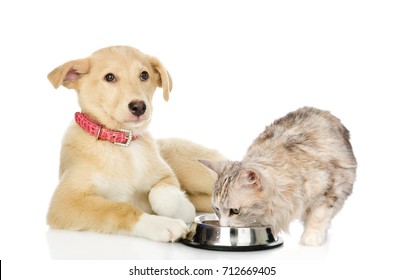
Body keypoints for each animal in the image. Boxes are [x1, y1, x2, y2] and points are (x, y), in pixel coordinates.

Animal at [46, 44, 227, 242]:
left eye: (144, 75)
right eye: (109, 77)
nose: (139, 106)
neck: (122, 144)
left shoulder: (166, 175)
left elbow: (163, 195)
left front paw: (185, 209)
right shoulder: (66, 201)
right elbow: (120, 208)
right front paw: (164, 224)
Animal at [200, 107, 356, 245]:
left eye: (235, 211)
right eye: (216, 209)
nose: (223, 226)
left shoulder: (329, 188)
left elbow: (318, 217)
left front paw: (311, 239)